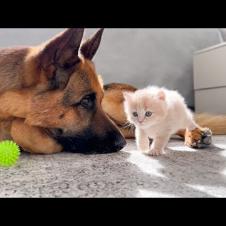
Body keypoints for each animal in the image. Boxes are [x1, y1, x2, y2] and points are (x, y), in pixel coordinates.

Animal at [0, 28, 224, 154]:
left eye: (94, 100)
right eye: (86, 101)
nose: (120, 145)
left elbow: (27, 131)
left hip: (117, 107)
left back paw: (195, 133)